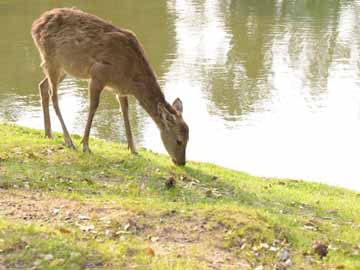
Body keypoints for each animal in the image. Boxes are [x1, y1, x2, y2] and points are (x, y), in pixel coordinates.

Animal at [31, 7, 190, 166]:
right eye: (179, 140)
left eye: (189, 139)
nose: (181, 162)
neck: (131, 77)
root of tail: (35, 26)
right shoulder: (97, 74)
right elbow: (93, 106)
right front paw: (85, 145)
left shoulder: (120, 90)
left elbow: (125, 112)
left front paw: (134, 150)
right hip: (51, 59)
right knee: (53, 96)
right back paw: (69, 141)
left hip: (64, 68)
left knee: (42, 86)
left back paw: (48, 133)